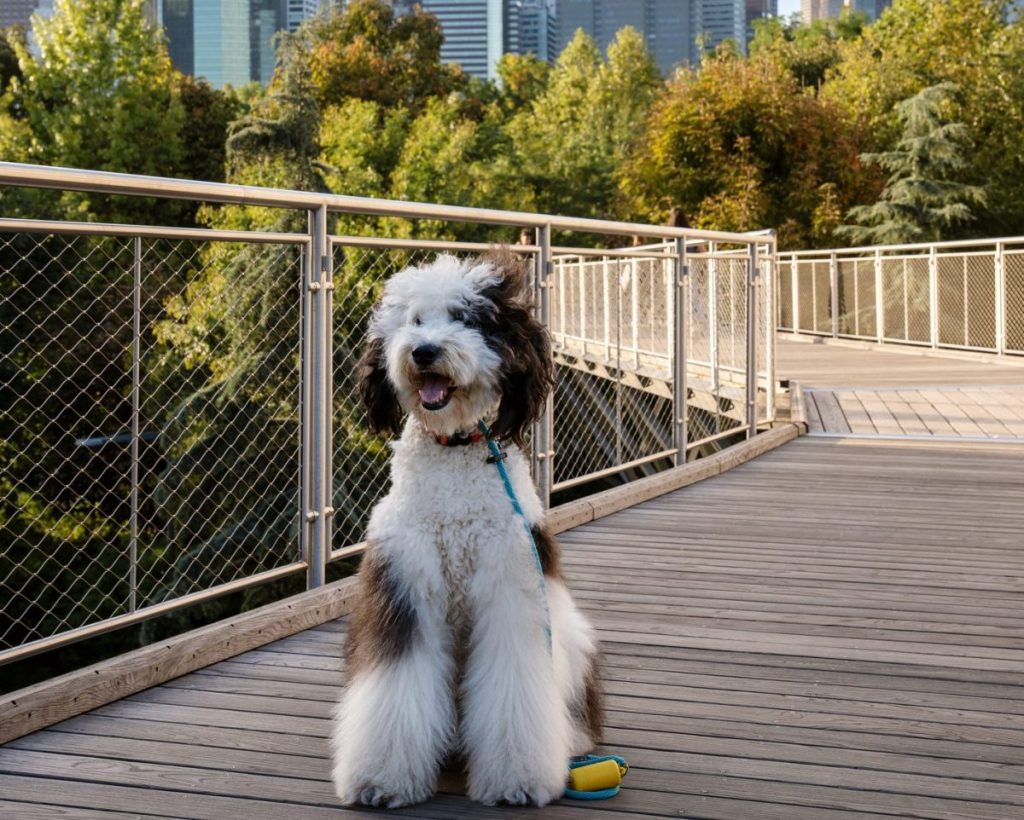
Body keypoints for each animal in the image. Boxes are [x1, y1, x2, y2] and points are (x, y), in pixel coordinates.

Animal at [329, 247, 598, 806]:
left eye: (466, 318)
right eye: (414, 320)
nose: (425, 351)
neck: (454, 449)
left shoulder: (512, 584)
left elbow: (512, 684)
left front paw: (516, 781)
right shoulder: (404, 581)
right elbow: (398, 683)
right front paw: (381, 781)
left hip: (574, 640)